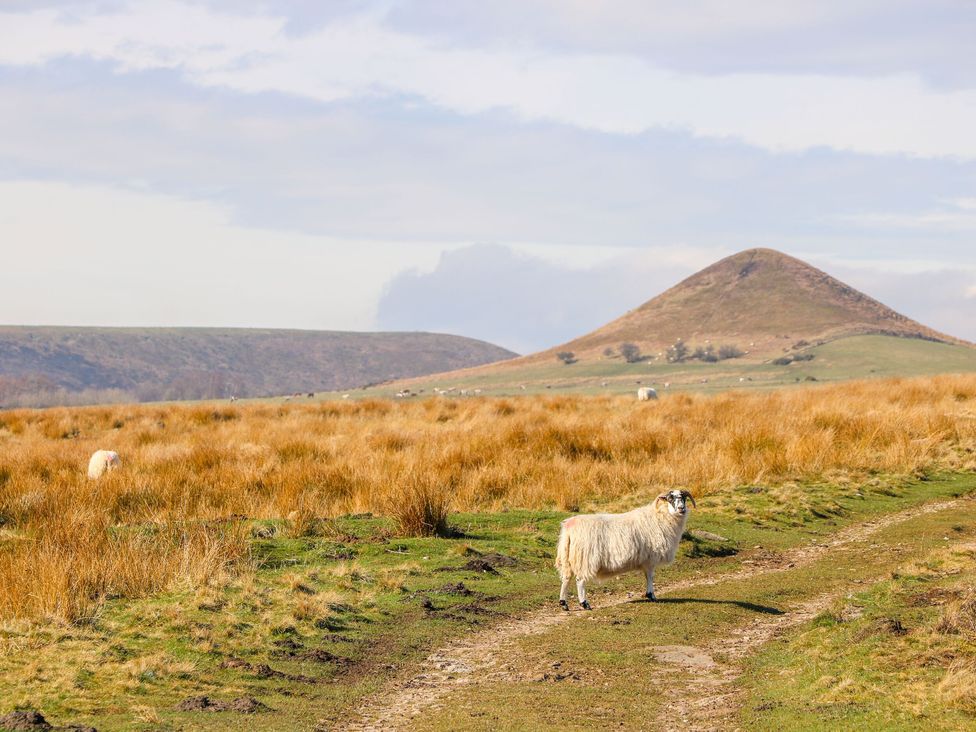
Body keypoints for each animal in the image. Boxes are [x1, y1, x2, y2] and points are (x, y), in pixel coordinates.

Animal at [552, 492, 696, 612]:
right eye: (670, 498)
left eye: (684, 498)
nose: (681, 509)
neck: (660, 517)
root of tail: (569, 526)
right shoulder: (650, 558)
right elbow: (650, 576)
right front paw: (651, 595)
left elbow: (647, 576)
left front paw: (649, 595)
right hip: (585, 558)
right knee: (580, 580)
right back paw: (585, 604)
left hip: (568, 557)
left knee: (566, 579)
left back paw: (563, 603)